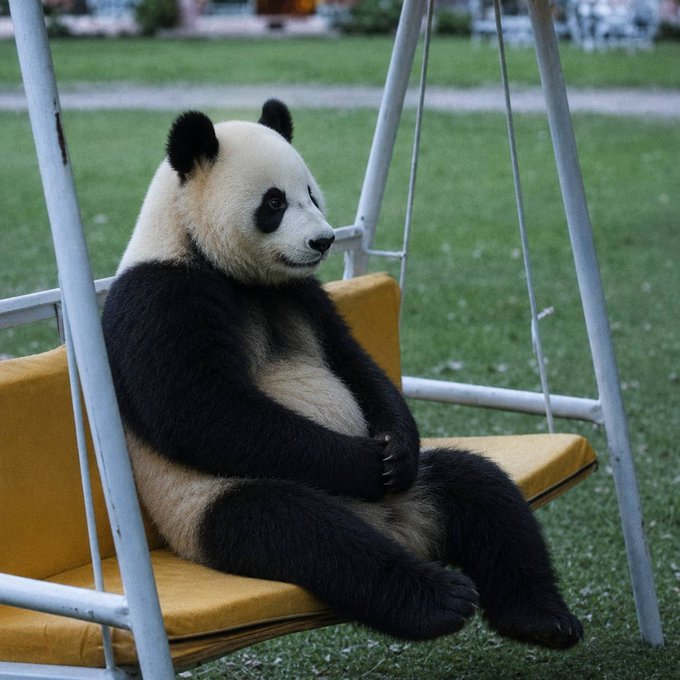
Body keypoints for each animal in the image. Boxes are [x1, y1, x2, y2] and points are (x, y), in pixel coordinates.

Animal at [102, 99, 583, 648]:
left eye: (311, 193)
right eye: (273, 202)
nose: (323, 240)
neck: (204, 252)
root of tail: (396, 526)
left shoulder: (303, 295)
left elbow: (355, 363)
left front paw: (396, 451)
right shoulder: (161, 298)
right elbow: (201, 411)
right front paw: (364, 463)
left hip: (425, 488)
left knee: (483, 492)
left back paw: (541, 617)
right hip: (209, 505)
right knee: (305, 531)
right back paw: (439, 599)